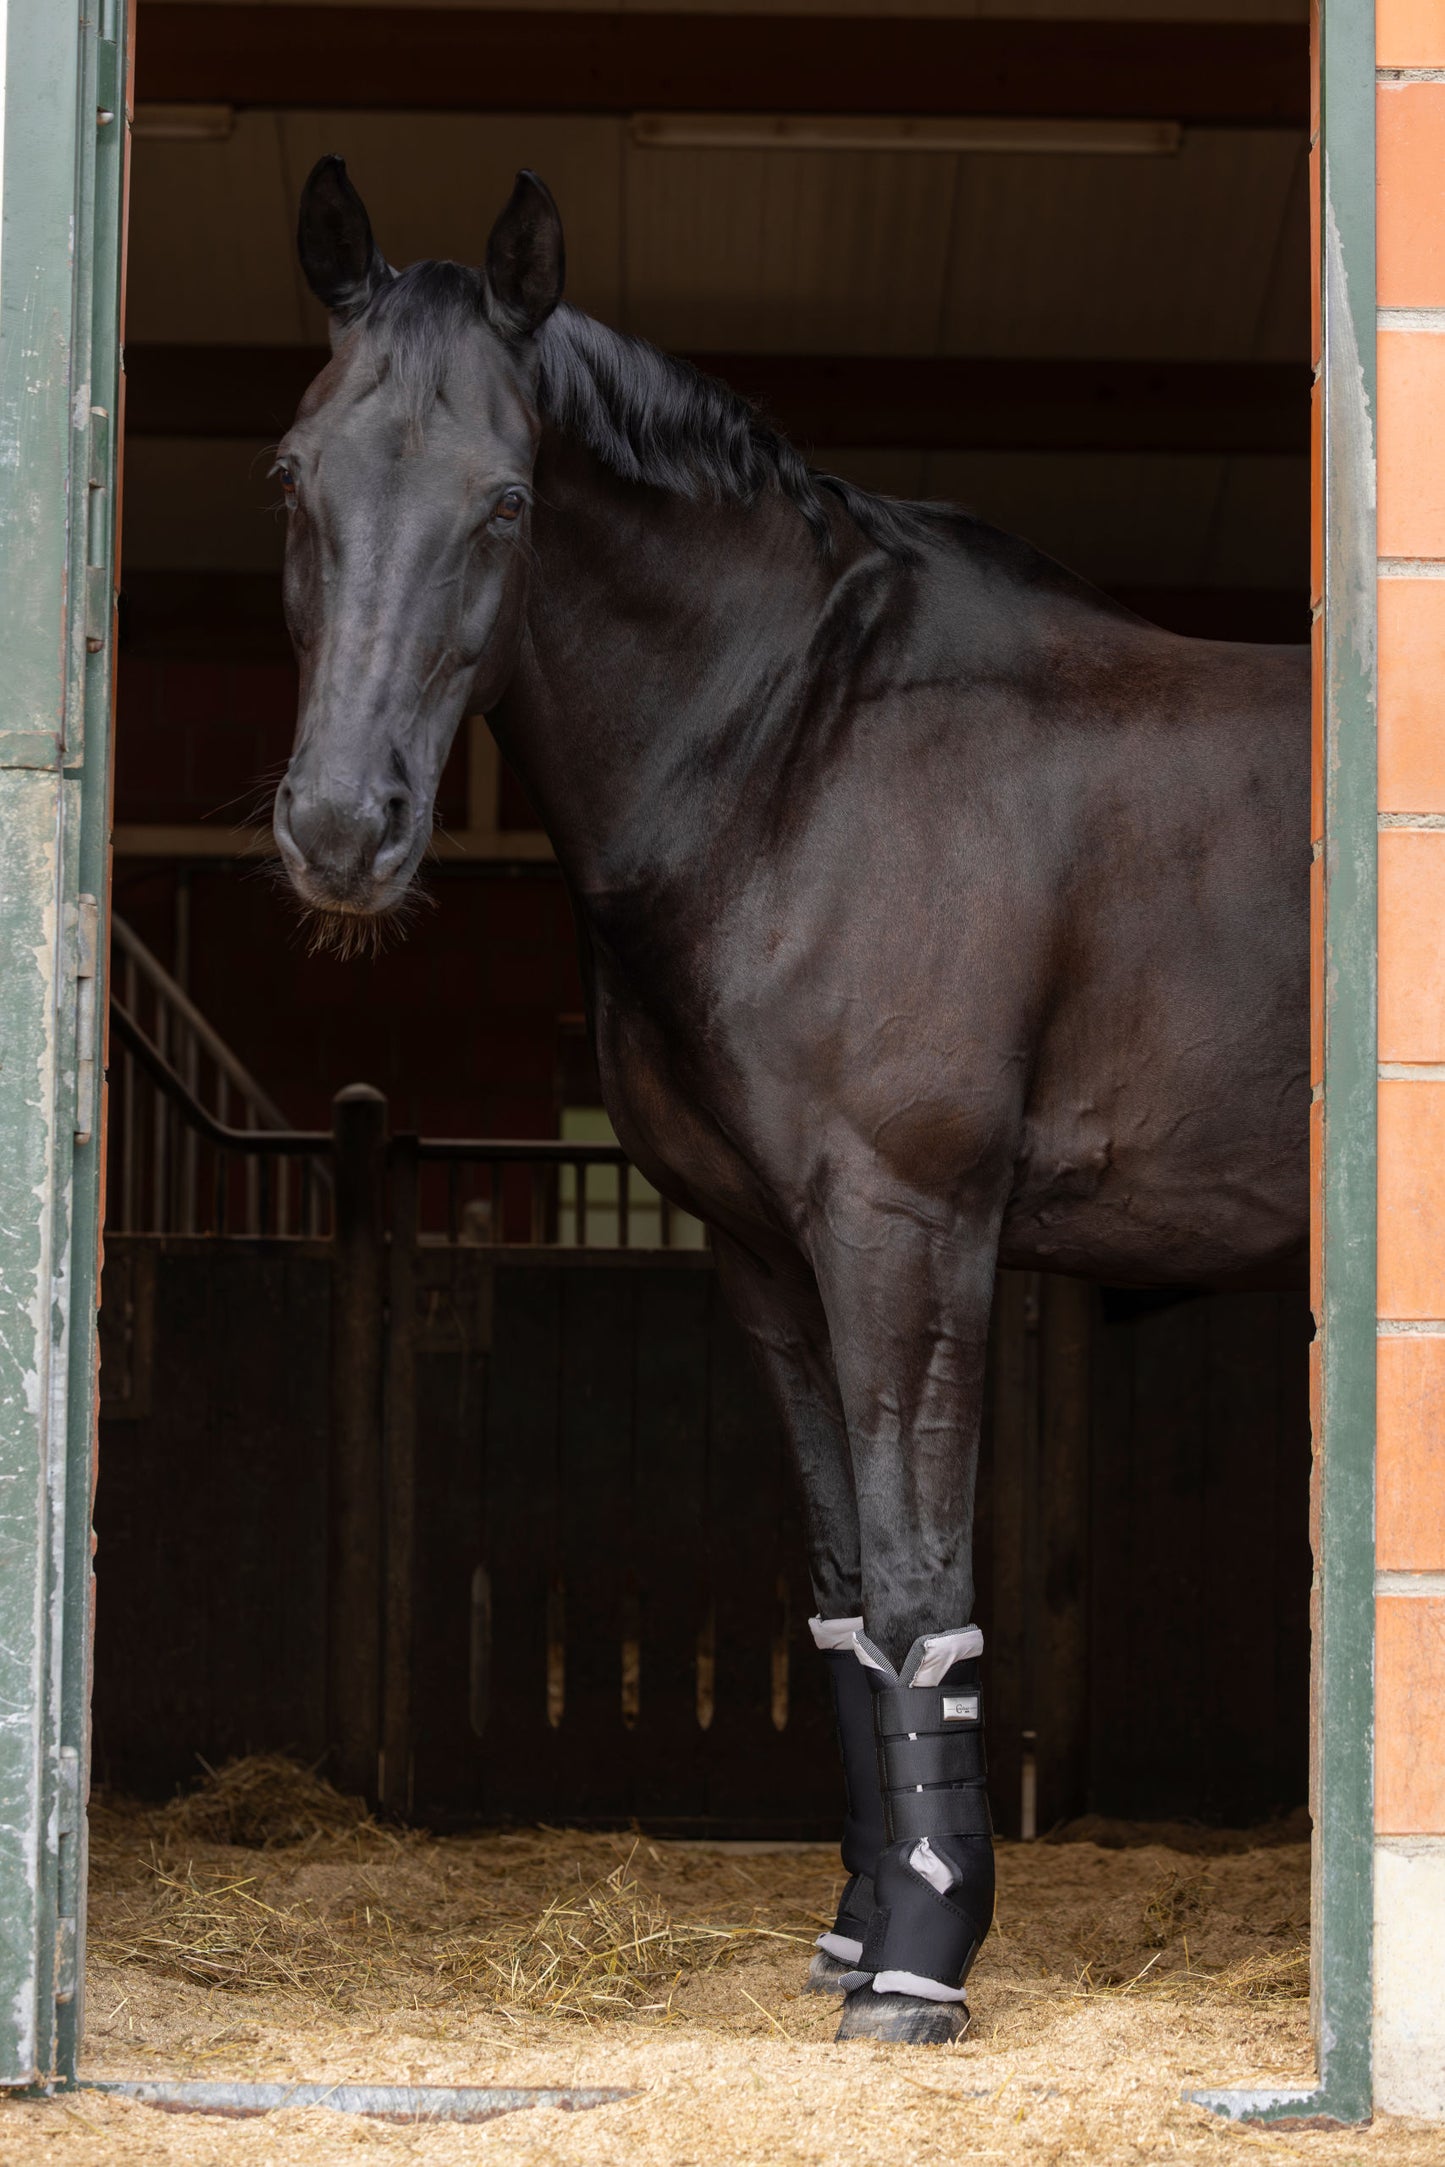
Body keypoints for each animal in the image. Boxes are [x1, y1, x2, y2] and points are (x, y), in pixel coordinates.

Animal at [271, 156, 1310, 2044]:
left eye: (506, 500)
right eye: (294, 478)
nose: (339, 831)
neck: (794, 754)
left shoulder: (907, 1232)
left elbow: (915, 1590)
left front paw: (920, 1962)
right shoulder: (765, 1256)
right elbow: (836, 1597)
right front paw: (857, 1922)